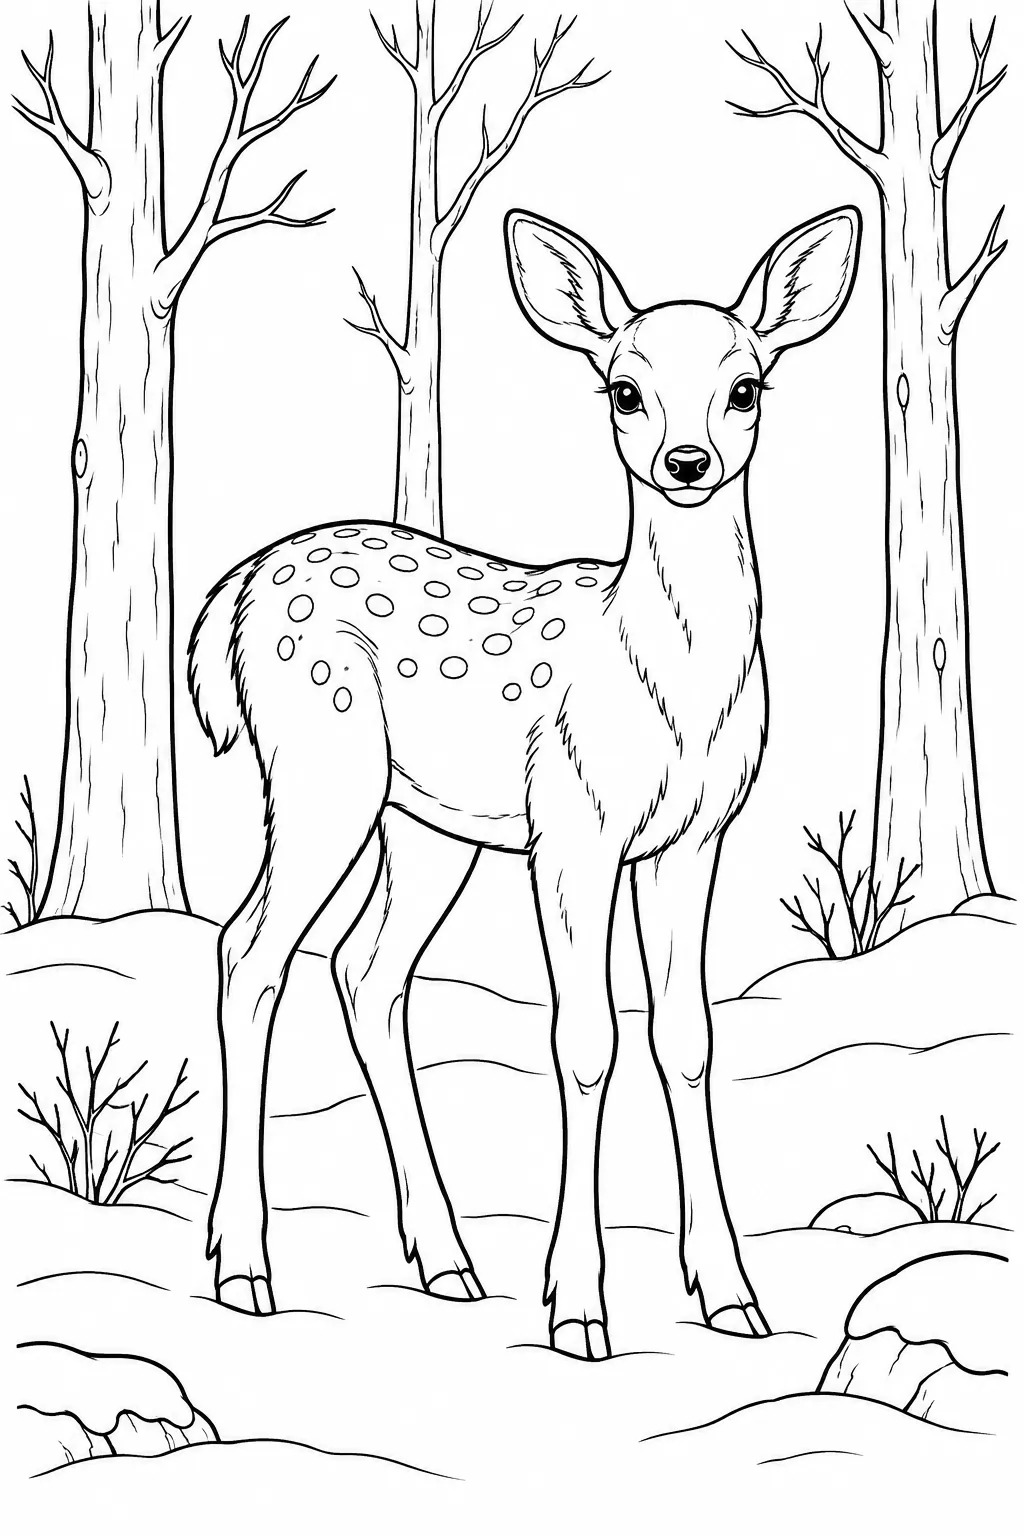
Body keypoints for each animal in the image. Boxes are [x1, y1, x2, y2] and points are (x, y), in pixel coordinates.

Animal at [188, 204, 861, 1359]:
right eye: (622, 388)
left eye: (747, 386)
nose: (687, 461)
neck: (675, 694)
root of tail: (236, 589)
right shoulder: (574, 823)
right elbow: (585, 1039)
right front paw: (580, 1307)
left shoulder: (694, 837)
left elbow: (686, 1036)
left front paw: (731, 1297)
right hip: (319, 768)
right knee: (250, 951)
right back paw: (243, 1267)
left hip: (424, 826)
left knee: (367, 972)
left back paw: (447, 1260)